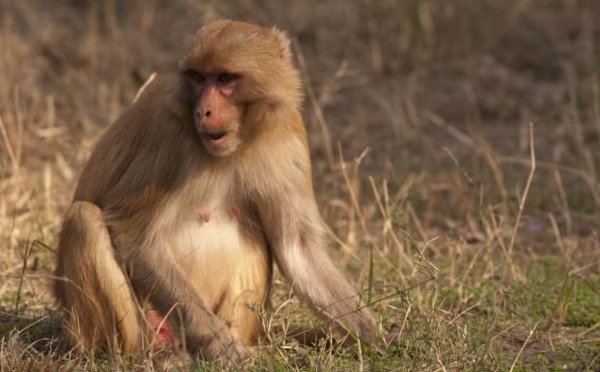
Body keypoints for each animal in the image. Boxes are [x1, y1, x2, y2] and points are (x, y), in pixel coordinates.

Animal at [51, 18, 380, 362]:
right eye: (198, 78)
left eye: (225, 79)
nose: (204, 111)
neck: (238, 147)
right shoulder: (168, 134)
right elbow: (134, 236)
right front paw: (219, 344)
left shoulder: (288, 133)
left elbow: (297, 248)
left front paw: (374, 335)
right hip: (143, 328)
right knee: (84, 218)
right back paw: (150, 358)